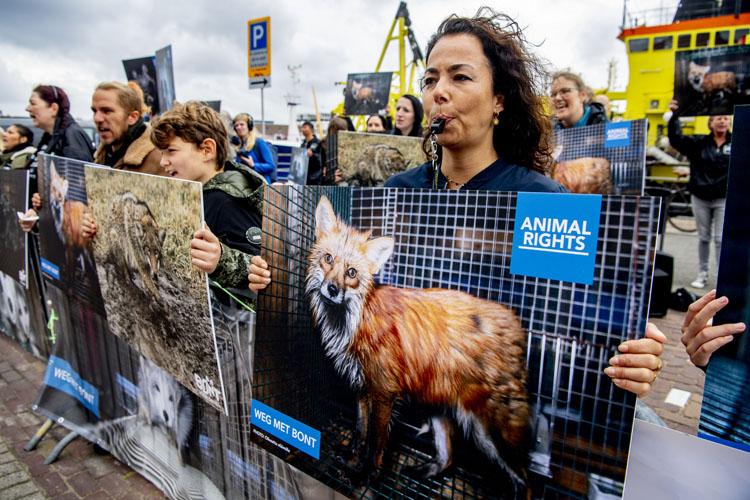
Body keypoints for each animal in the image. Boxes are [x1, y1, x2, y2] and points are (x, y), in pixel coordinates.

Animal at [304, 197, 528, 494]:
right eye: (328, 259)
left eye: (351, 273)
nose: (332, 289)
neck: (353, 321)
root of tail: (516, 322)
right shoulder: (362, 387)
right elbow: (360, 431)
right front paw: (352, 456)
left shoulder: (384, 392)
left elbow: (375, 443)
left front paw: (366, 475)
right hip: (439, 408)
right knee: (448, 457)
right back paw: (425, 471)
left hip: (492, 430)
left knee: (526, 481)